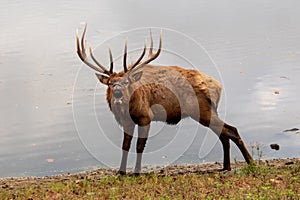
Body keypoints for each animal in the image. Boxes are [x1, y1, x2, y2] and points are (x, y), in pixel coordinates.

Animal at [75, 23, 253, 175]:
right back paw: (226, 166)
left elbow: (140, 146)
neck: (127, 109)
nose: (118, 93)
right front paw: (121, 172)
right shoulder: (127, 121)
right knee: (223, 134)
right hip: (208, 111)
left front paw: (136, 172)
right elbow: (125, 145)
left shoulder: (145, 117)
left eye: (126, 82)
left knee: (231, 130)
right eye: (111, 83)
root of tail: (218, 86)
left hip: (203, 110)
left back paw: (250, 162)